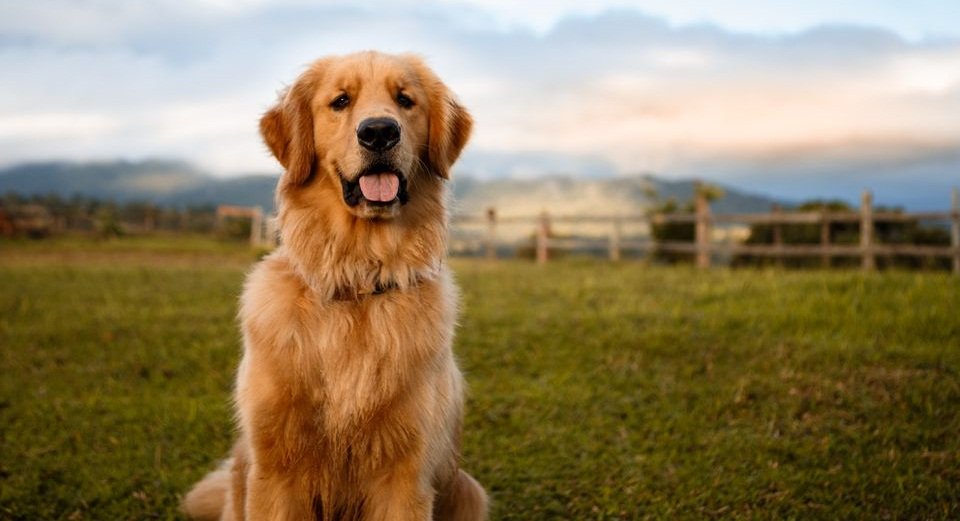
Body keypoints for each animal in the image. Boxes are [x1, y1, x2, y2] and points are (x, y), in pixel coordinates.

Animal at [183, 49, 488, 520]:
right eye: (341, 101)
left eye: (405, 100)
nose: (379, 132)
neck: (357, 279)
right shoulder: (275, 470)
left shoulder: (406, 475)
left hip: (469, 491)